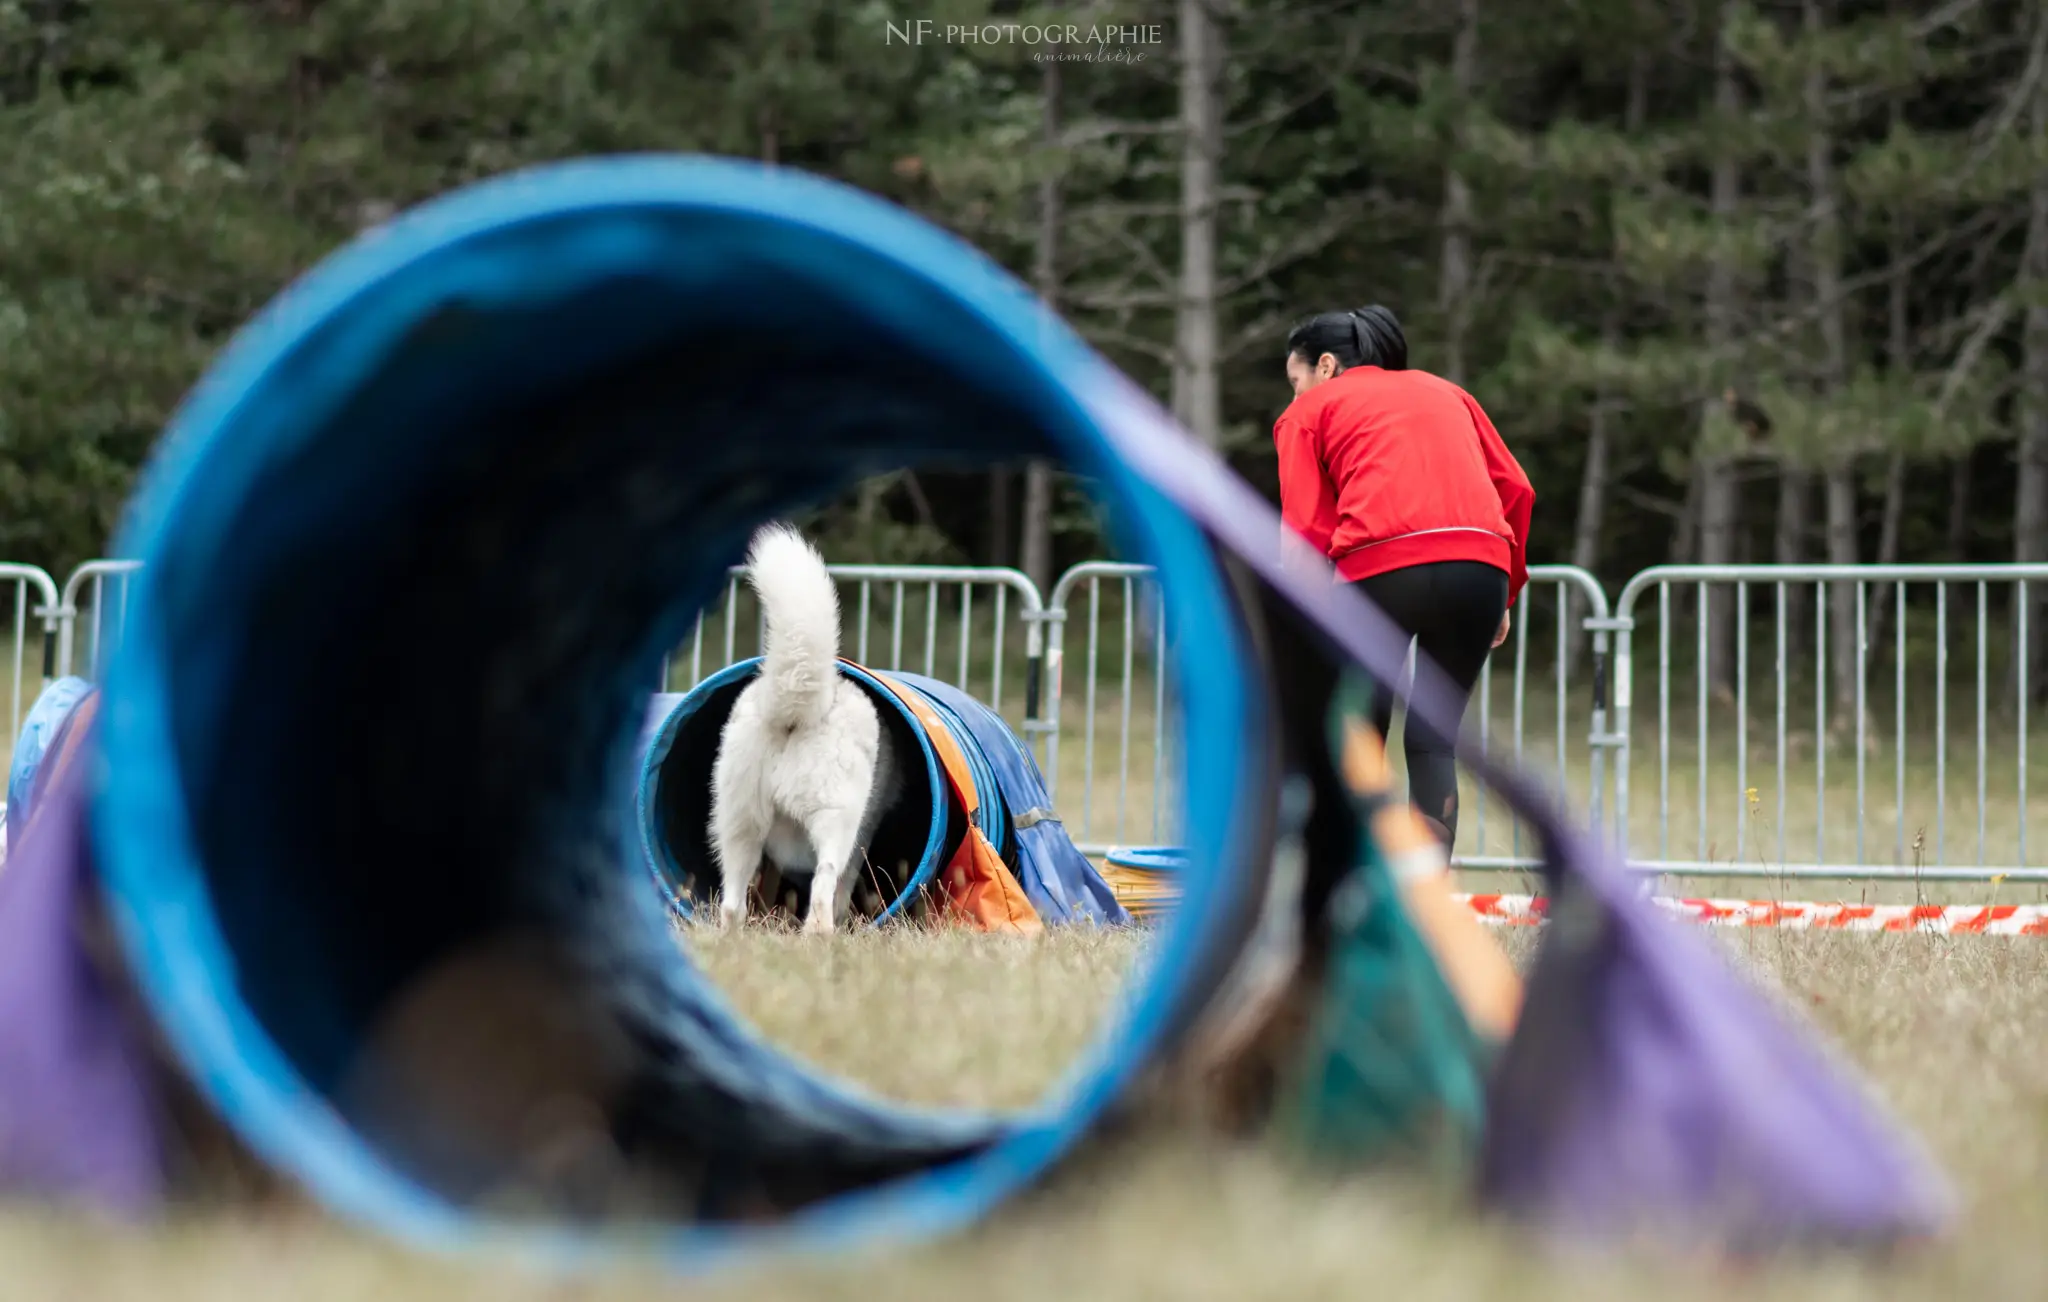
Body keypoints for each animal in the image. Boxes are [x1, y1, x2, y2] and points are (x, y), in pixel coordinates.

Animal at [712, 524, 905, 929]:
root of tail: (792, 714)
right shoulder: (860, 836)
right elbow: (841, 888)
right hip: (836, 820)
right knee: (822, 890)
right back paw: (822, 934)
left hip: (738, 824)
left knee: (732, 902)